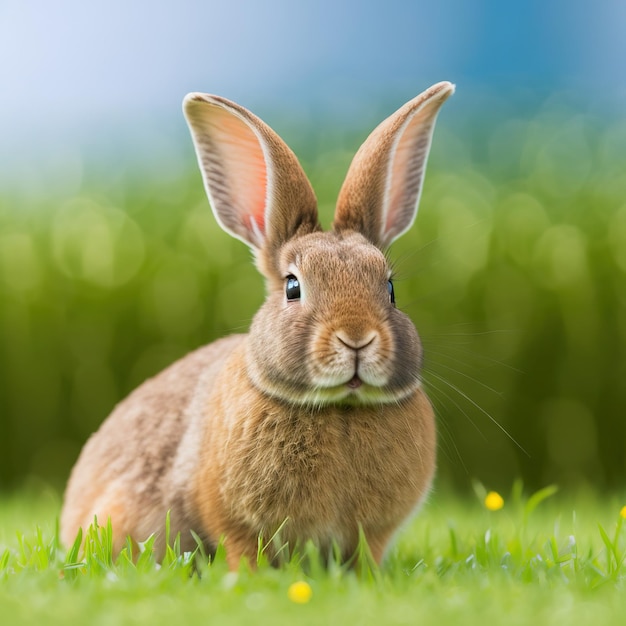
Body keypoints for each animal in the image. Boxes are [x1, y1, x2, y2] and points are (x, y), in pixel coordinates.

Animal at [61, 80, 454, 568]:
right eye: (292, 287)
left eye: (391, 288)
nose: (357, 338)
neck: (340, 408)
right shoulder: (232, 519)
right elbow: (244, 549)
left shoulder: (371, 534)